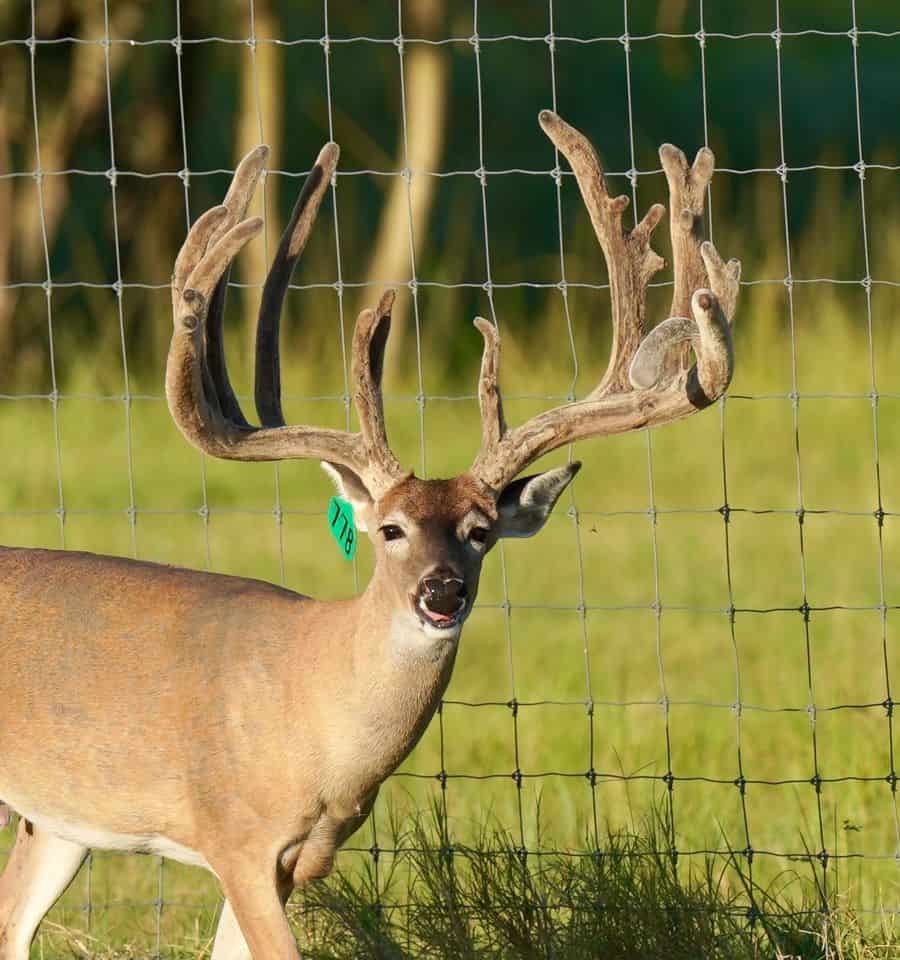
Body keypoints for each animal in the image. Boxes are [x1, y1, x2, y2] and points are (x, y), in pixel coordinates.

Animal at [0, 110, 740, 960]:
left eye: (481, 532)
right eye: (390, 529)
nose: (441, 592)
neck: (319, 720)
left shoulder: (297, 856)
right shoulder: (234, 834)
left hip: (55, 819)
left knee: (11, 921)